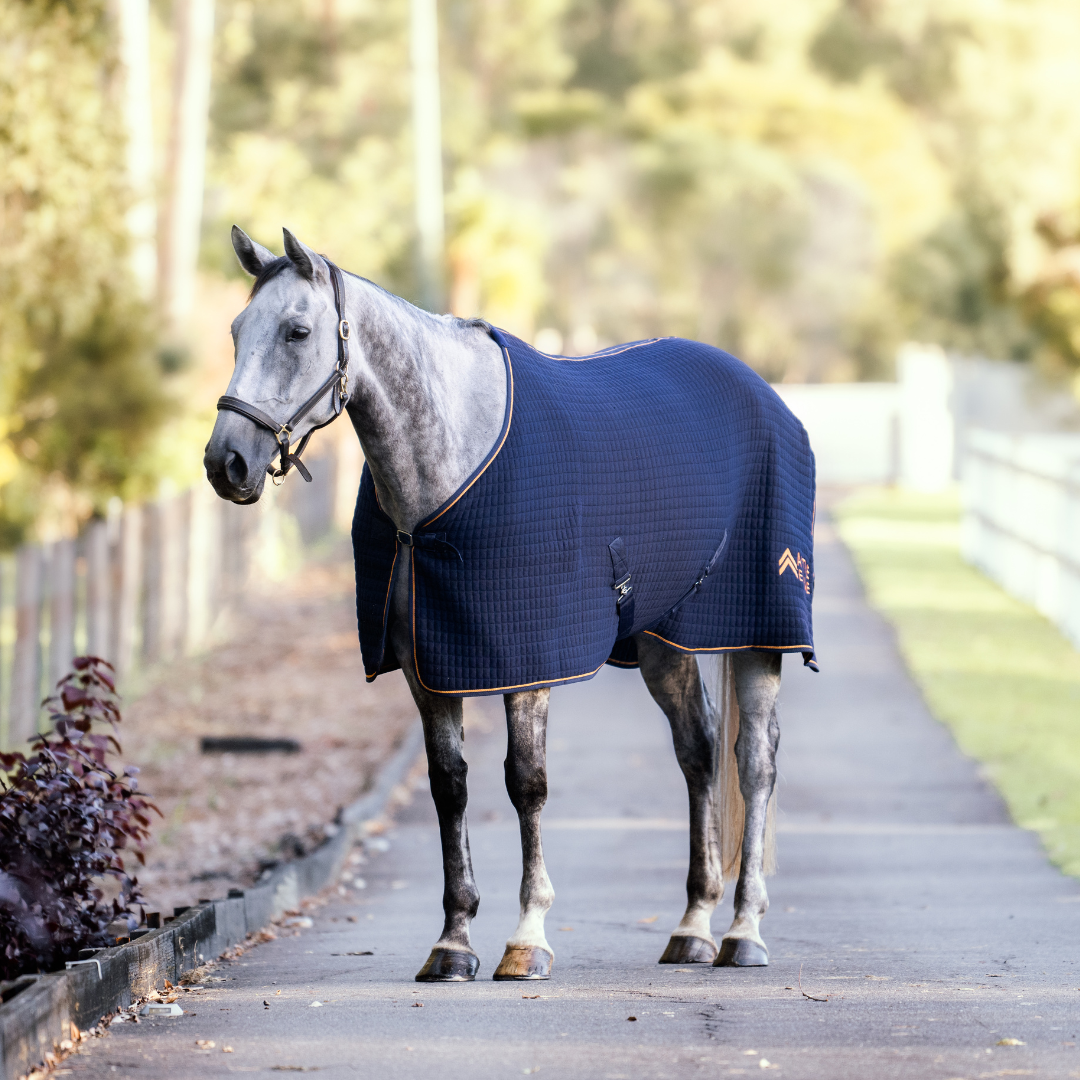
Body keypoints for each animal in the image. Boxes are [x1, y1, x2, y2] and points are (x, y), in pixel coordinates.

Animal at [204, 226, 817, 982]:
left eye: (297, 331)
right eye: (236, 331)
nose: (226, 462)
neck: (448, 470)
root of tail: (765, 393)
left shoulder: (526, 659)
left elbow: (526, 783)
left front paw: (527, 937)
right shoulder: (428, 663)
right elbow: (450, 787)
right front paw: (452, 942)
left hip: (761, 631)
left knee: (754, 762)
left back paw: (743, 931)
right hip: (659, 641)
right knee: (698, 751)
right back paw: (692, 926)